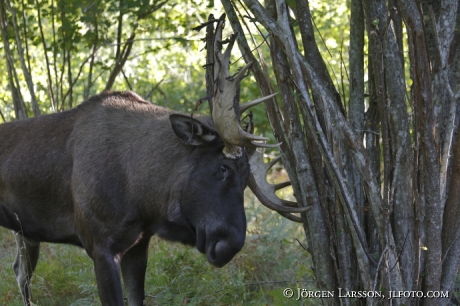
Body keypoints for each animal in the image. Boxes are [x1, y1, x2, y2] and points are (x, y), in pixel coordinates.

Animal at [0, 15, 310, 304]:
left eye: (247, 179)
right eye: (222, 168)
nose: (228, 246)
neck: (142, 196)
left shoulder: (138, 245)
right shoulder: (100, 246)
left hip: (25, 233)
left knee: (19, 272)